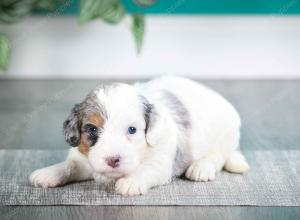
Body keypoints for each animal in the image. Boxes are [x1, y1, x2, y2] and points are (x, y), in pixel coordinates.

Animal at [30, 76, 250, 196]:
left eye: (132, 130)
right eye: (92, 130)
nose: (113, 160)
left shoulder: (161, 164)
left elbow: (146, 170)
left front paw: (131, 182)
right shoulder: (83, 158)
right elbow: (71, 165)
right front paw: (48, 173)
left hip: (224, 134)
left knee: (218, 156)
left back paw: (201, 167)